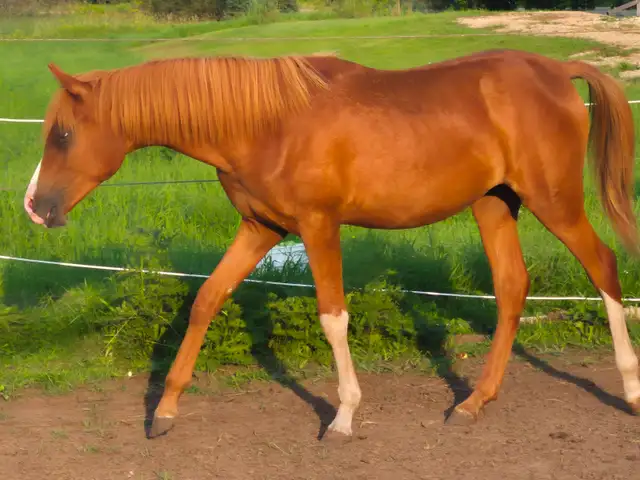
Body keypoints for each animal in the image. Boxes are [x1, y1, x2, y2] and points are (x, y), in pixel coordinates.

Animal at [24, 49, 640, 439]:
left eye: (64, 135)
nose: (34, 206)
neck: (264, 123)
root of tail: (557, 70)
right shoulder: (260, 229)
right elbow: (205, 300)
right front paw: (166, 411)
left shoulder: (319, 227)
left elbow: (333, 317)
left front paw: (343, 417)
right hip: (494, 203)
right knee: (512, 288)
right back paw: (472, 403)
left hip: (554, 201)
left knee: (604, 267)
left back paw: (630, 388)